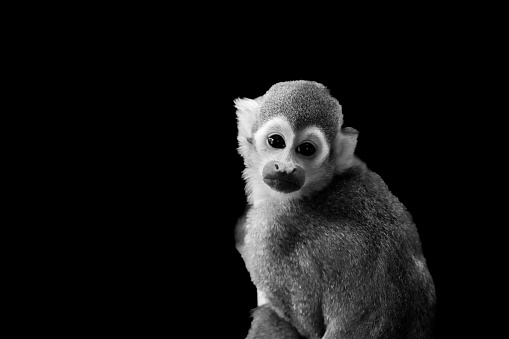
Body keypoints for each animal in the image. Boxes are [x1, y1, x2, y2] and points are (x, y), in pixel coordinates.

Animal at [234, 81, 436, 338]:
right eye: (276, 142)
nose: (286, 168)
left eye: (306, 149)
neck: (316, 189)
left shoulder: (272, 232)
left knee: (269, 316)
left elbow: (306, 325)